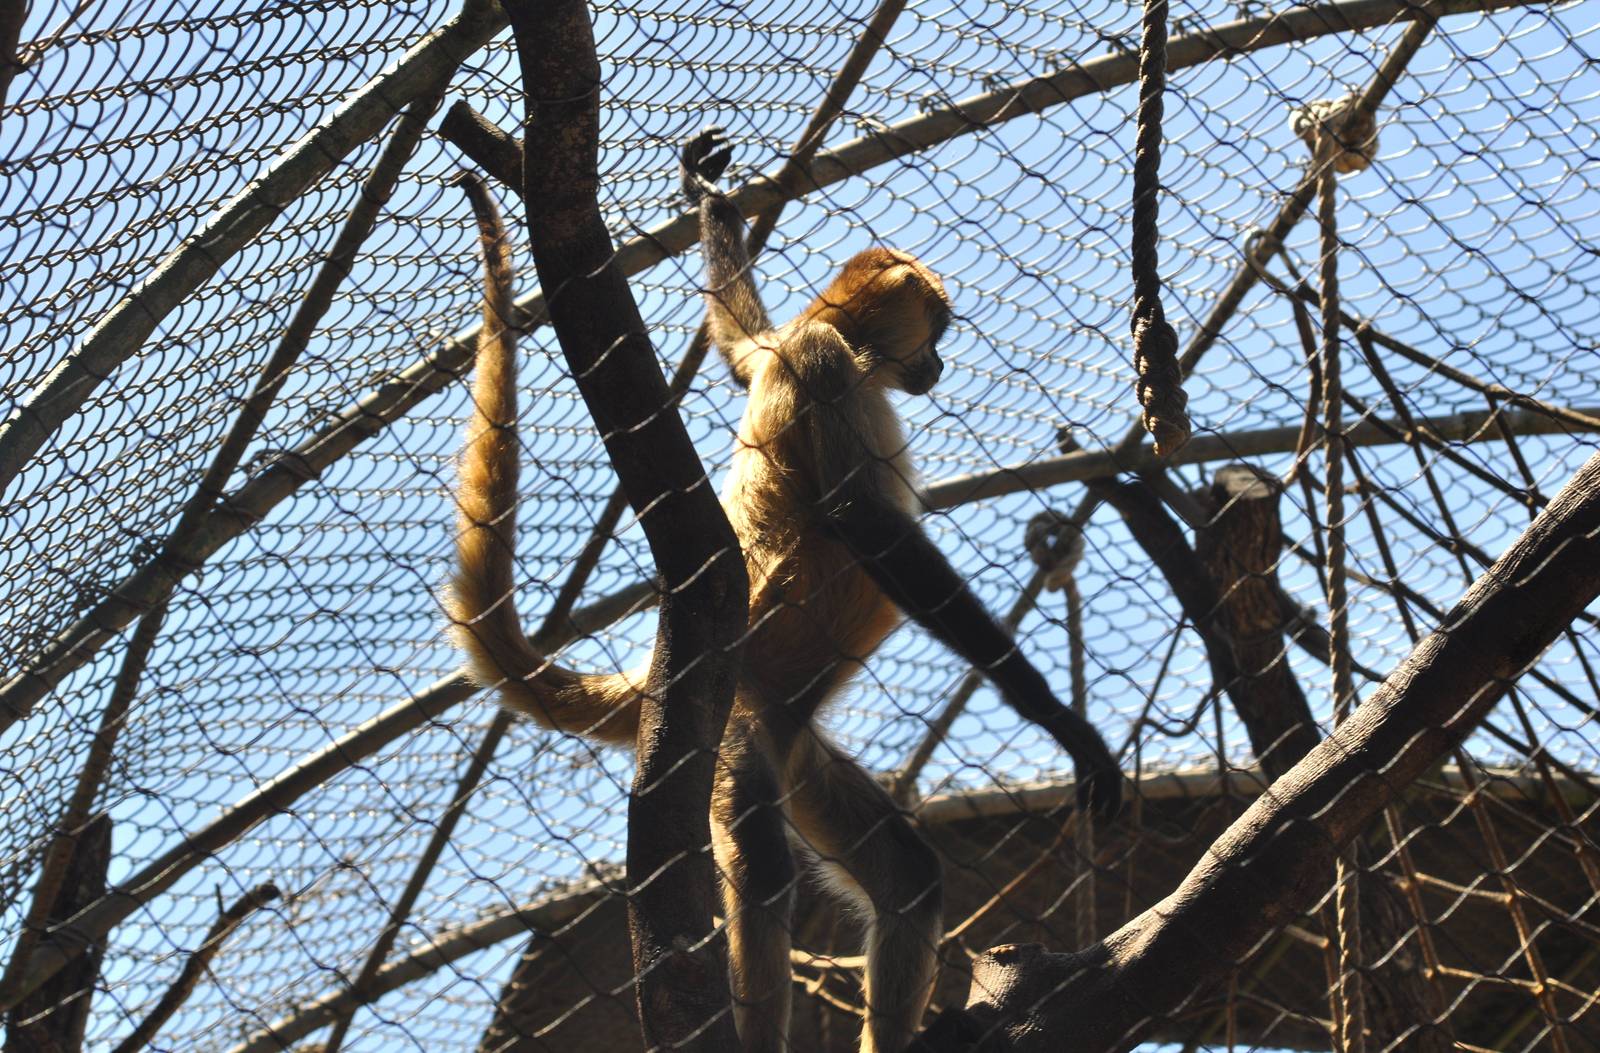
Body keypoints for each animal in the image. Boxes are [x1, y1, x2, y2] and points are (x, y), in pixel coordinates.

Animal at [446, 135, 1122, 1053]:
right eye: (937, 334)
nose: (940, 362)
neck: (829, 337)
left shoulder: (778, 354)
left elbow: (737, 349)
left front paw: (709, 194)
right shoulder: (817, 363)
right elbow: (863, 523)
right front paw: (1062, 723)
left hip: (793, 743)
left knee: (908, 876)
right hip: (734, 729)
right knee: (764, 868)